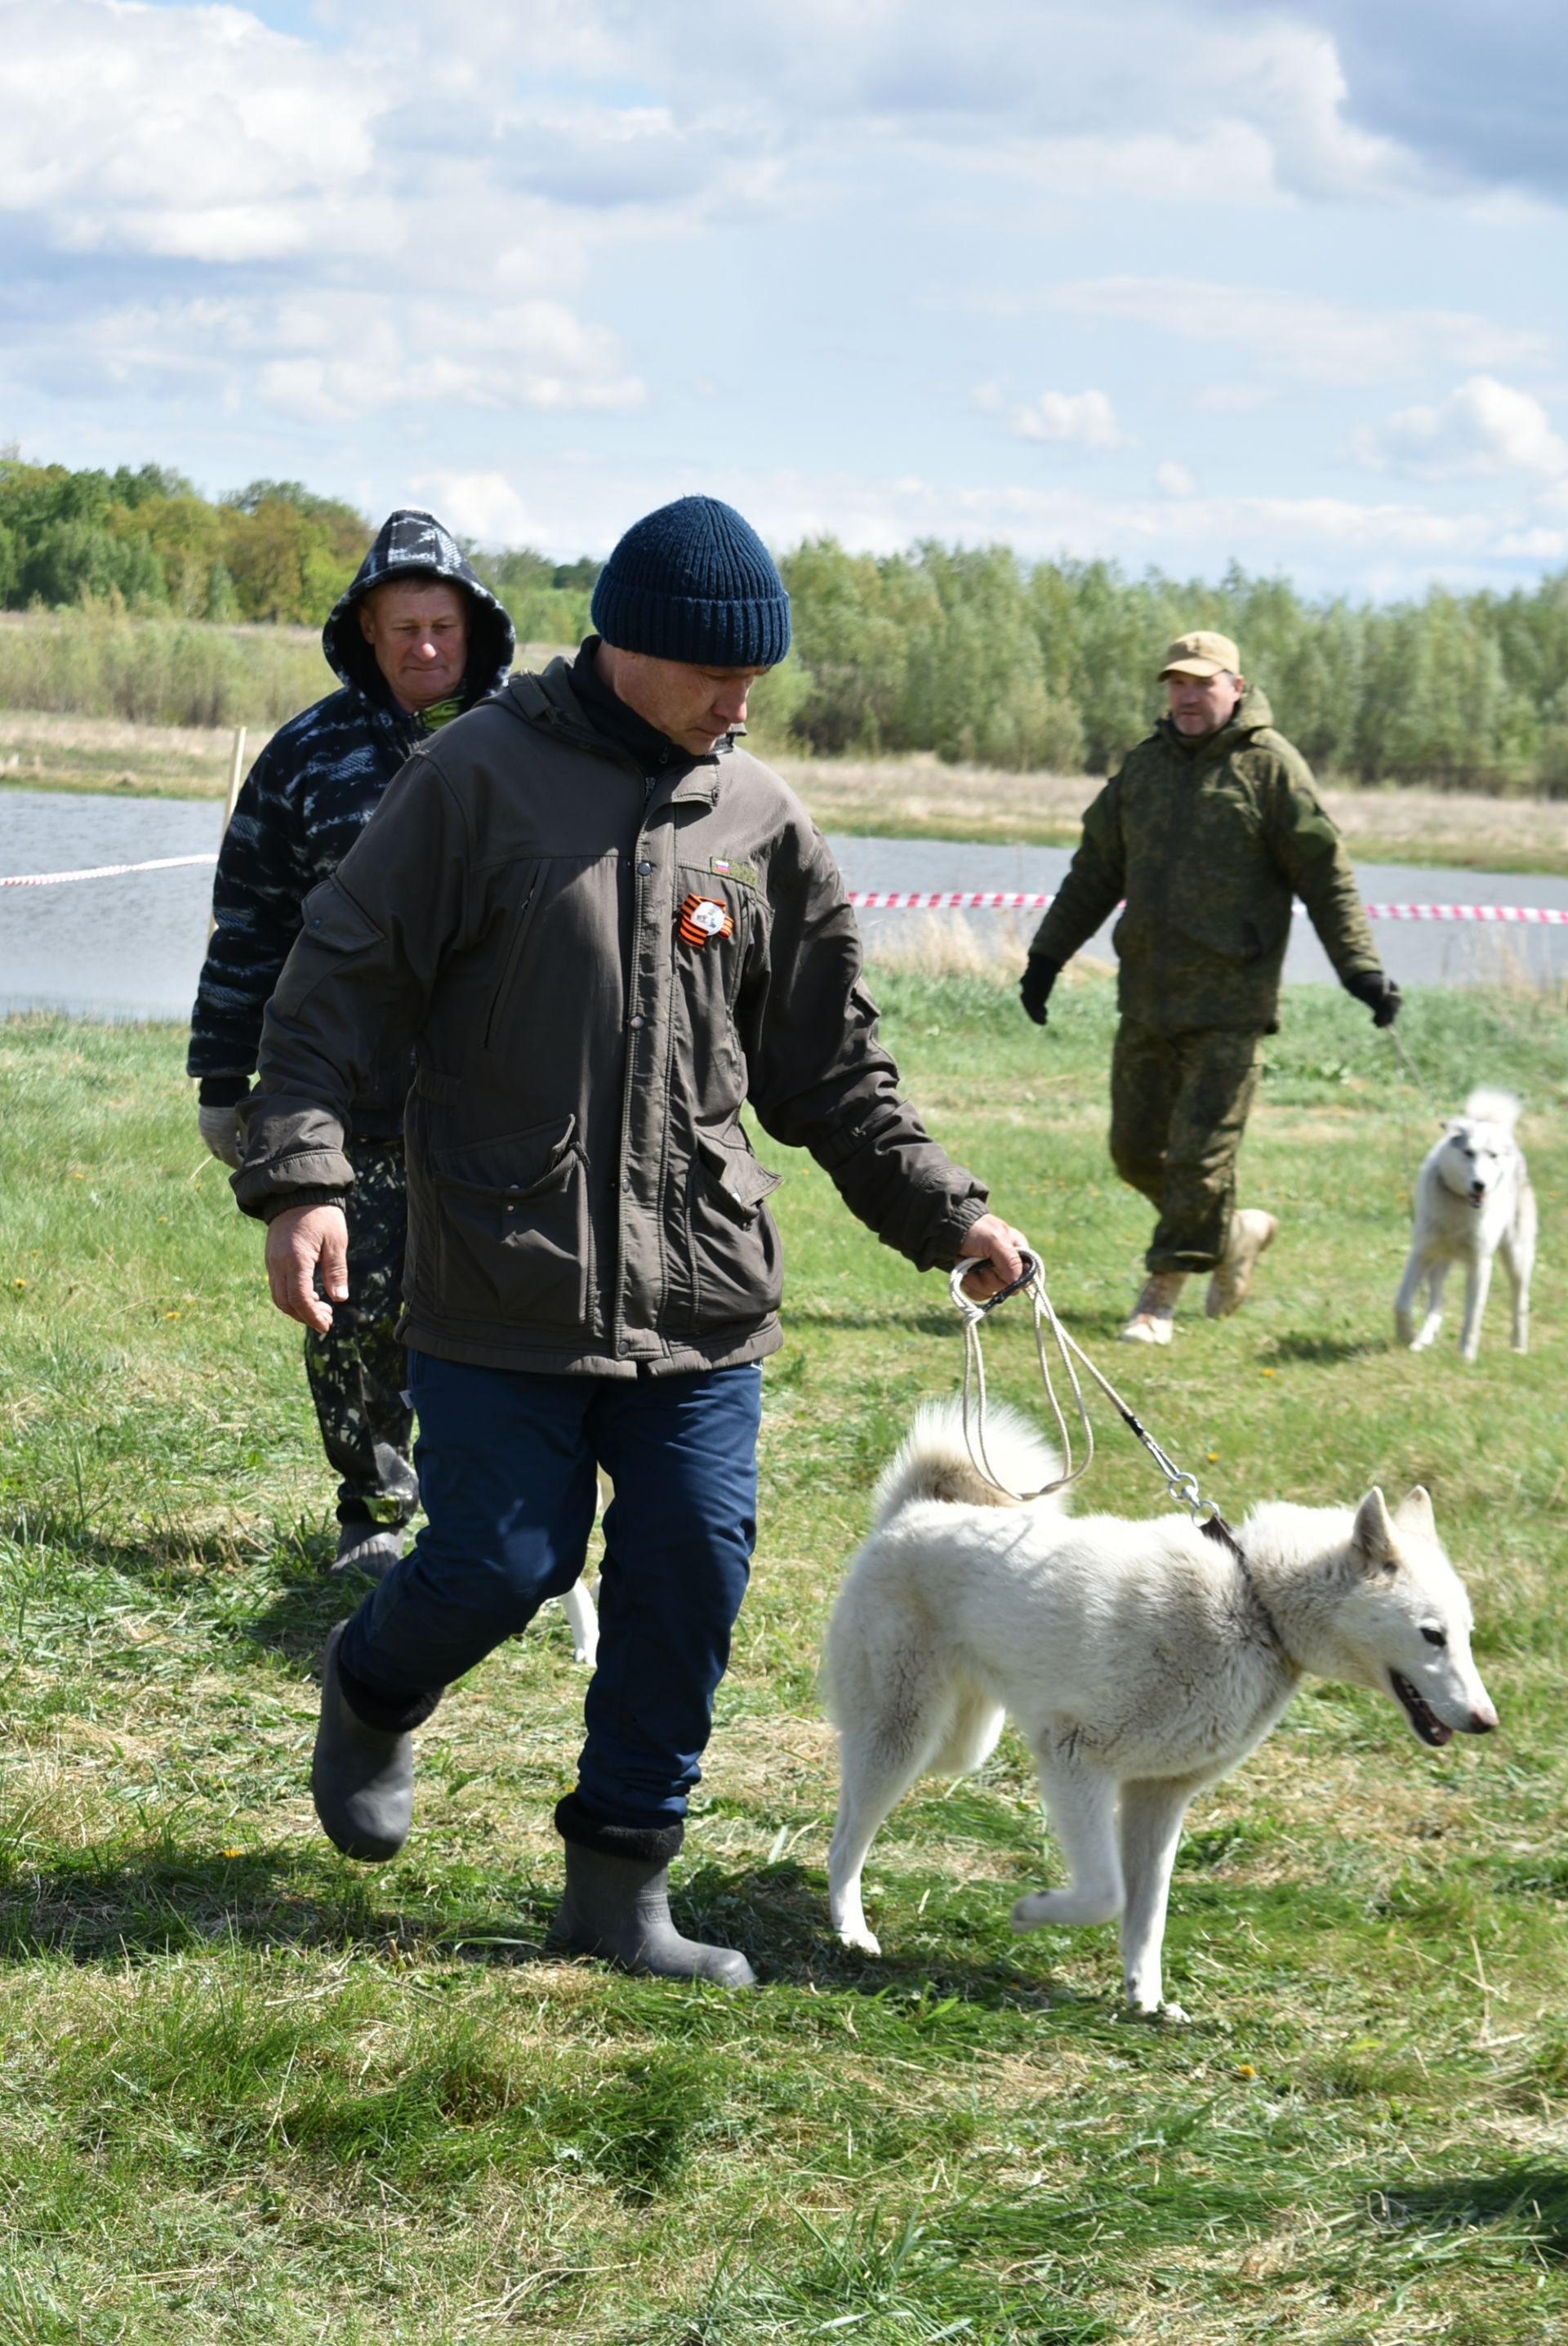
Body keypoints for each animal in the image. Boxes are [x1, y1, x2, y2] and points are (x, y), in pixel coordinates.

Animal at [820, 1398, 1490, 2027]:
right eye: (1432, 1636)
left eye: (1467, 1635)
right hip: (905, 1731)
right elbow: (1106, 1894)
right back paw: (851, 1929)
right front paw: (1034, 1912)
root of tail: (911, 1513)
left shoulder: (1159, 1796)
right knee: (848, 1835)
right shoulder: (1074, 1759)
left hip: (958, 1744)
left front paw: (1146, 2001)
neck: (1254, 1605)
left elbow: (1147, 1916)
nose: (1487, 1722)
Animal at [1396, 1088, 1528, 1370]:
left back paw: (1519, 1347)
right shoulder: (1422, 1253)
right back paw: (1422, 1340)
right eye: (1468, 1153)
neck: (1459, 1205)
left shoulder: (1480, 1265)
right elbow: (1401, 1303)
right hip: (1439, 1263)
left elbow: (1472, 1319)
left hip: (1516, 1257)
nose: (1480, 1185)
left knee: (1520, 1301)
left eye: (1492, 1156)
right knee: (1436, 1304)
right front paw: (1406, 1336)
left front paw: (1467, 1357)